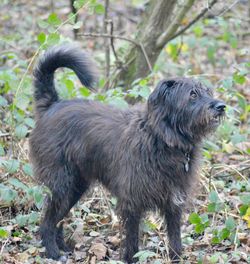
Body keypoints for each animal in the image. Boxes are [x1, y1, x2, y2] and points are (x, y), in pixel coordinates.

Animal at [29, 44, 227, 262]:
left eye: (207, 91)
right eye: (192, 94)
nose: (221, 106)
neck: (162, 138)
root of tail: (52, 106)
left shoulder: (174, 203)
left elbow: (175, 239)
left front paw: (176, 259)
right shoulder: (132, 202)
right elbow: (132, 239)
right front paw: (130, 259)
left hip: (75, 186)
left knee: (57, 219)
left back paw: (63, 247)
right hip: (61, 185)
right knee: (47, 221)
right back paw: (53, 253)